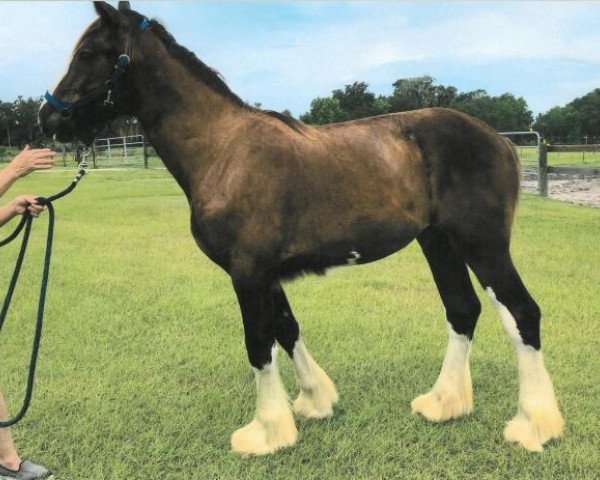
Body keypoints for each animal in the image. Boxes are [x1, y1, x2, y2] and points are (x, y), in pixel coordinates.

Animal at [39, 1, 564, 456]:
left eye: (89, 53)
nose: (48, 118)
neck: (223, 151)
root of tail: (498, 140)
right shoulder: (264, 272)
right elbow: (287, 329)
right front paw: (315, 401)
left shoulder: (248, 272)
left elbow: (259, 344)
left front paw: (267, 431)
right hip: (438, 242)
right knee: (462, 309)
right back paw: (443, 403)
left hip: (482, 243)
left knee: (521, 312)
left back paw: (534, 424)